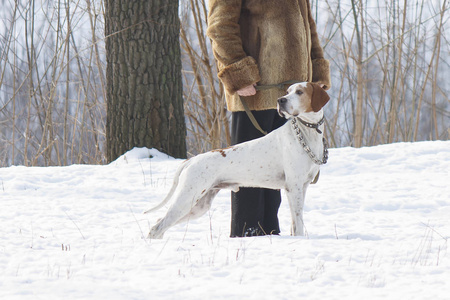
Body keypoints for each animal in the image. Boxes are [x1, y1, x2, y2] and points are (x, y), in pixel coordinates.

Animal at [145, 82, 330, 239]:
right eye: (287, 91)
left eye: (299, 92)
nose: (280, 100)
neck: (307, 134)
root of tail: (191, 160)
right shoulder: (294, 187)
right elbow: (298, 221)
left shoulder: (301, 187)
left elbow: (294, 222)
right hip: (187, 198)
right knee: (157, 227)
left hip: (198, 206)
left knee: (159, 223)